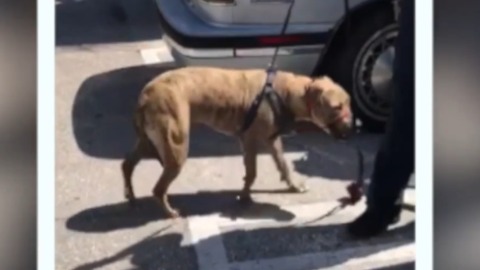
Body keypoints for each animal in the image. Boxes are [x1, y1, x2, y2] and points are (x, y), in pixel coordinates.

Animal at [121, 66, 352, 218]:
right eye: (337, 107)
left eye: (348, 103)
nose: (353, 128)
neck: (285, 92)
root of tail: (145, 95)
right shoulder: (249, 141)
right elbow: (252, 173)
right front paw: (245, 197)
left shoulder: (272, 141)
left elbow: (283, 166)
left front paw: (293, 185)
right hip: (175, 150)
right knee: (158, 189)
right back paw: (170, 212)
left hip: (148, 142)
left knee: (127, 164)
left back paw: (131, 196)